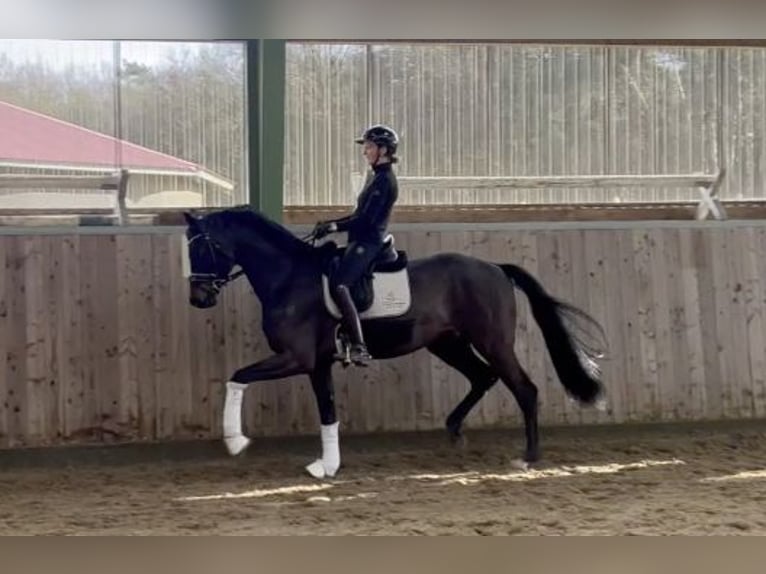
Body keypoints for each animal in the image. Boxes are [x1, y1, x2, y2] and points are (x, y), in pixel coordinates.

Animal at [183, 207, 608, 482]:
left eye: (202, 247)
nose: (199, 299)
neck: (289, 277)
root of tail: (494, 268)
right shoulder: (317, 363)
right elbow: (327, 411)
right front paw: (327, 466)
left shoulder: (296, 358)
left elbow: (237, 377)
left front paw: (236, 441)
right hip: (447, 344)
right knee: (482, 378)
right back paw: (454, 431)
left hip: (493, 342)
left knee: (524, 388)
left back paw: (528, 457)